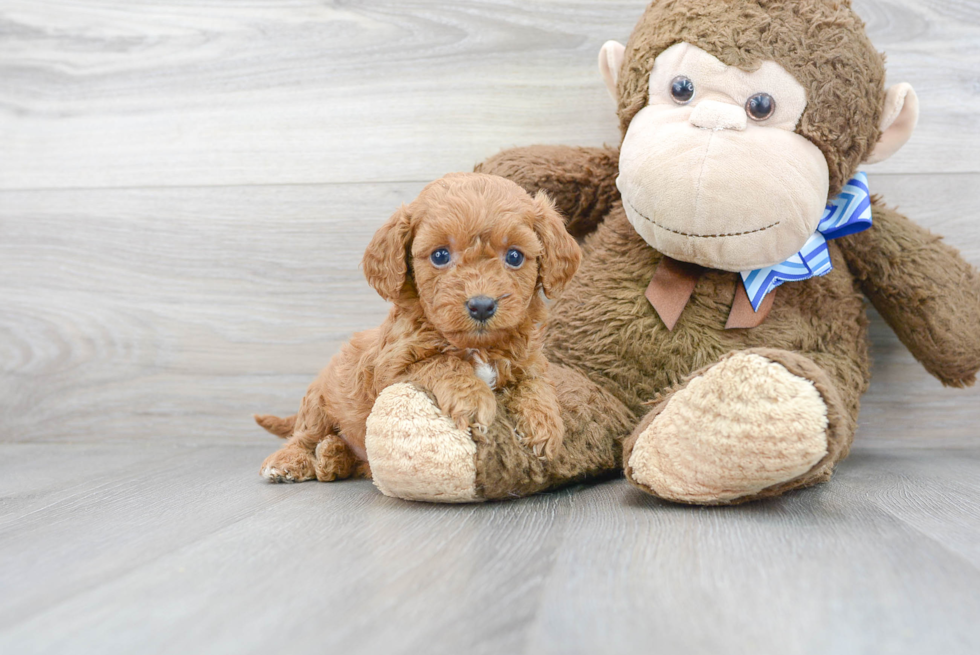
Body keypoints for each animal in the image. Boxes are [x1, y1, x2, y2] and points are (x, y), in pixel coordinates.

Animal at [255, 172, 580, 484]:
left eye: (514, 256)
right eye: (440, 255)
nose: (482, 305)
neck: (478, 346)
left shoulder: (529, 361)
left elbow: (535, 384)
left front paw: (545, 424)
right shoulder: (392, 370)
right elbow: (442, 362)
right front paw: (473, 400)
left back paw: (332, 458)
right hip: (319, 402)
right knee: (304, 436)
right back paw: (289, 462)